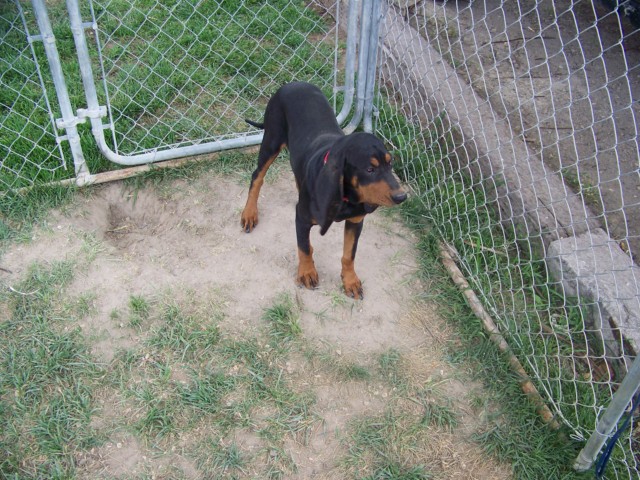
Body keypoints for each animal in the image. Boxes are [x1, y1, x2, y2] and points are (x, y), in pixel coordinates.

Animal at [240, 82, 407, 299]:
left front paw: (350, 280)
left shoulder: (356, 221)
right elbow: (303, 247)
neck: (346, 198)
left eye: (390, 163)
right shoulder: (302, 217)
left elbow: (349, 255)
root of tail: (292, 83)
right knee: (257, 177)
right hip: (271, 140)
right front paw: (307, 272)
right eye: (370, 170)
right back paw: (249, 213)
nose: (402, 196)